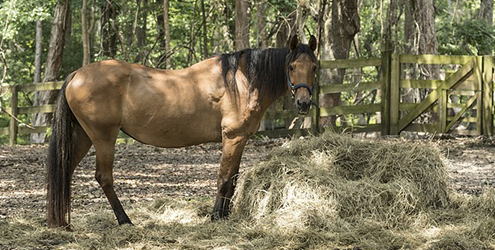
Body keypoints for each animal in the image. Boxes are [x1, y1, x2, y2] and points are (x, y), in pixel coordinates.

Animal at [46, 35, 318, 229]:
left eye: (314, 67)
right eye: (292, 67)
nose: (304, 103)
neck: (241, 82)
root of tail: (76, 75)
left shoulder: (240, 140)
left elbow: (233, 178)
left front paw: (225, 214)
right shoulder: (232, 138)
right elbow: (224, 178)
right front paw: (216, 216)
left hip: (83, 137)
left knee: (65, 171)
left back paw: (62, 222)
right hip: (103, 137)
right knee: (104, 178)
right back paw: (124, 220)